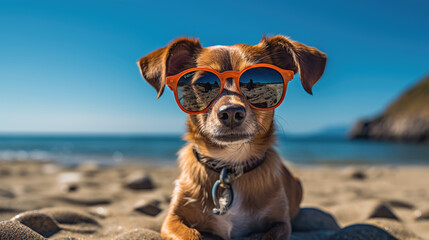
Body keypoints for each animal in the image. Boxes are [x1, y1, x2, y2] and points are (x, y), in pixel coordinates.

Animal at [139, 35, 326, 240]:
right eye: (202, 82)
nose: (230, 112)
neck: (229, 164)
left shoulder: (281, 223)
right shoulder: (171, 219)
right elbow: (190, 235)